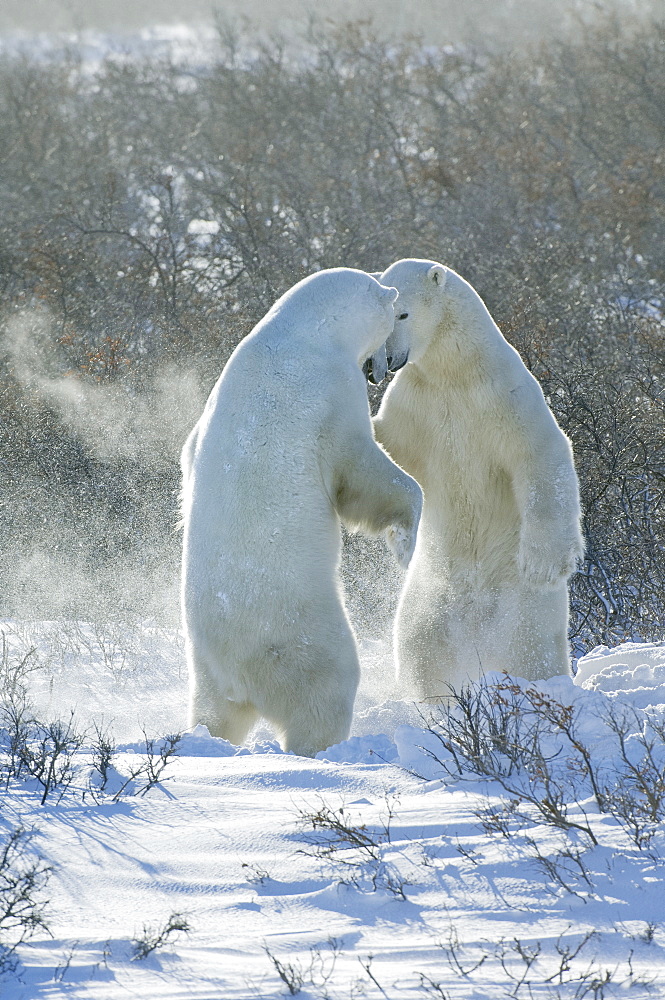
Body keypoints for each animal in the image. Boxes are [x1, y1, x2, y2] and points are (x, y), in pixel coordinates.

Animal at [179, 270, 422, 752]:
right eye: (393, 310)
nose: (386, 366)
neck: (301, 331)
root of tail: (238, 676)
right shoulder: (330, 394)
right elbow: (362, 468)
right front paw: (406, 546)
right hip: (300, 636)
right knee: (324, 691)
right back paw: (326, 748)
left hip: (205, 667)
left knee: (214, 712)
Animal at [370, 258, 584, 700]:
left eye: (403, 314)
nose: (385, 362)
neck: (456, 373)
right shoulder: (416, 403)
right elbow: (390, 443)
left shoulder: (503, 397)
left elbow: (539, 454)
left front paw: (544, 563)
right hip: (427, 601)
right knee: (421, 653)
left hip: (521, 607)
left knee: (532, 652)